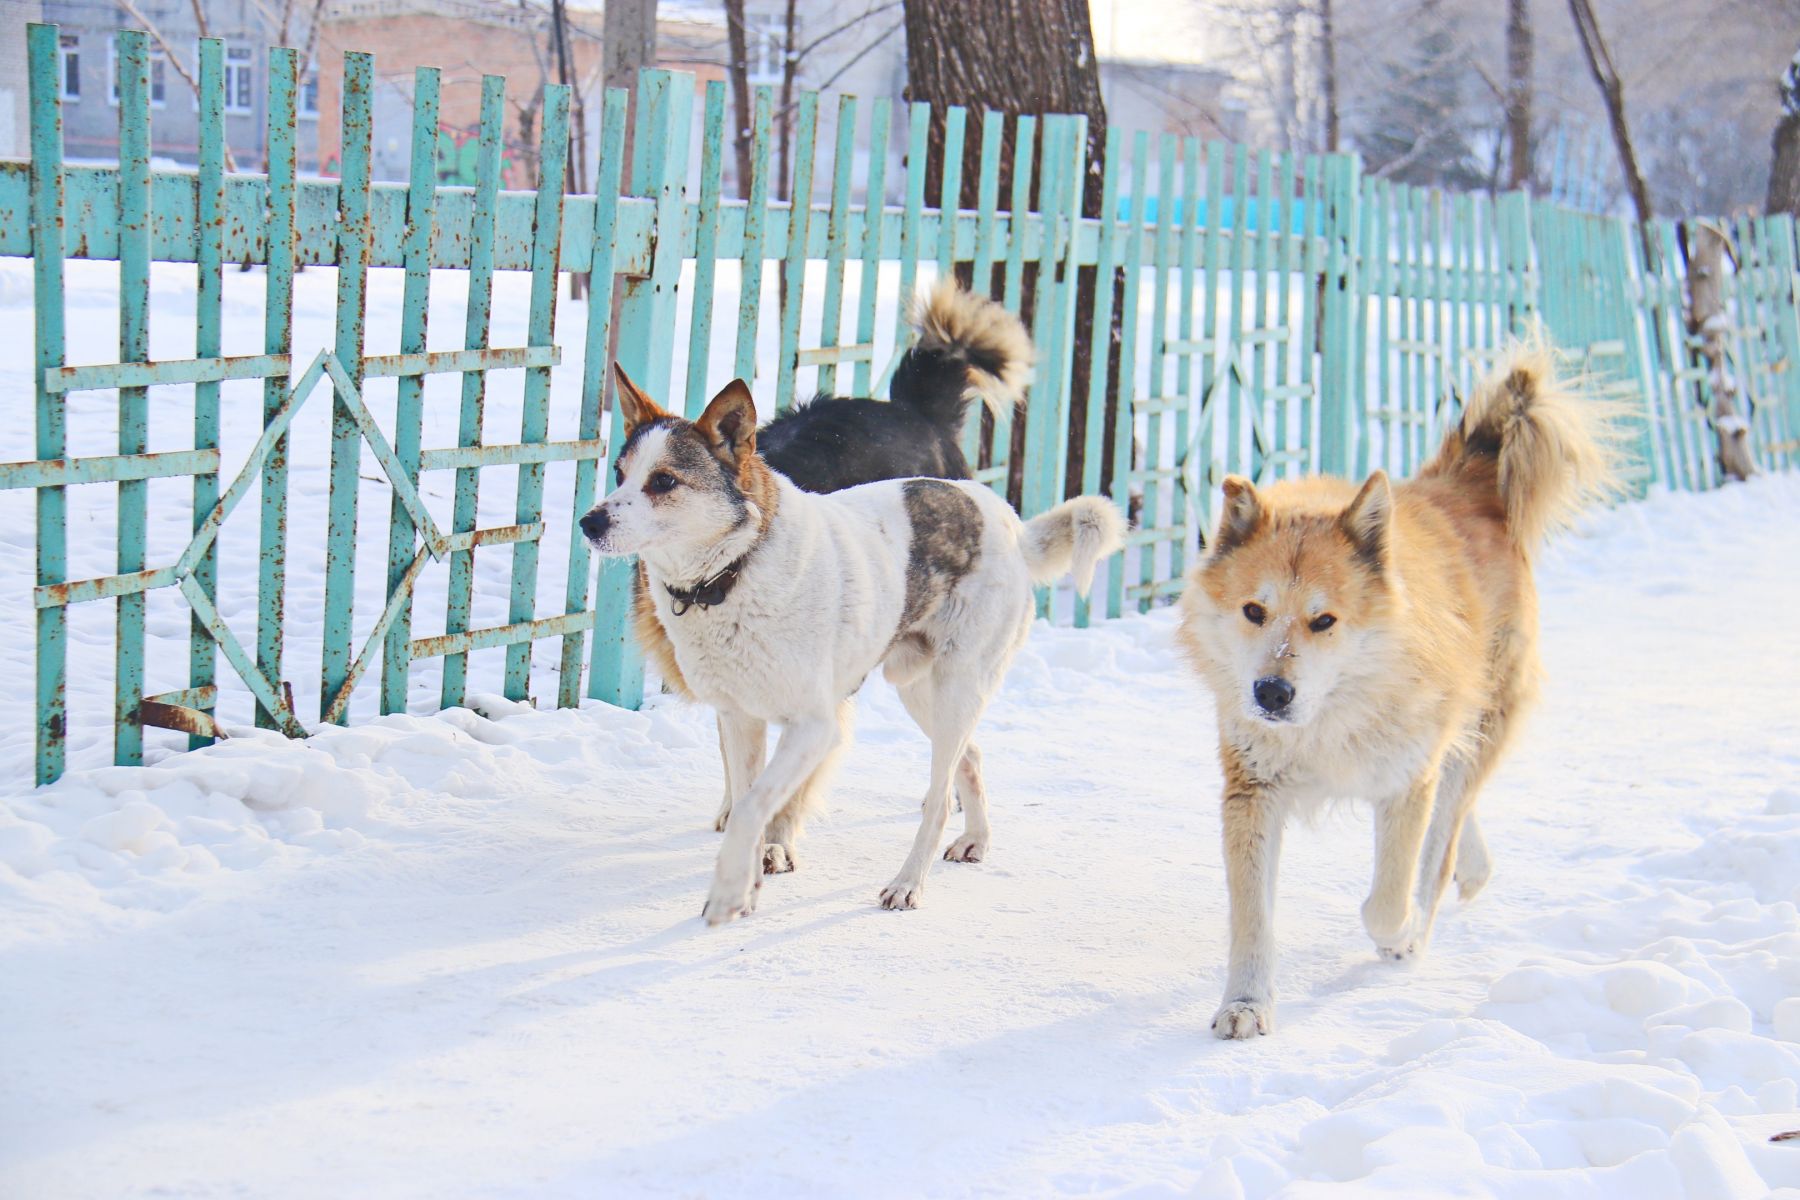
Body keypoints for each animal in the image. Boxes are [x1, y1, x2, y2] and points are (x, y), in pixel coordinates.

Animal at [586, 368, 1123, 928]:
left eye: (663, 481)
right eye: (620, 473)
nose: (589, 522)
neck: (735, 570)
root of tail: (1009, 519)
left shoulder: (814, 726)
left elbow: (754, 807)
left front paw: (731, 891)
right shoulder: (740, 720)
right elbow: (745, 801)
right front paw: (747, 888)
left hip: (958, 685)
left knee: (938, 797)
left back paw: (908, 883)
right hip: (918, 688)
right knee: (970, 755)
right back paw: (976, 839)